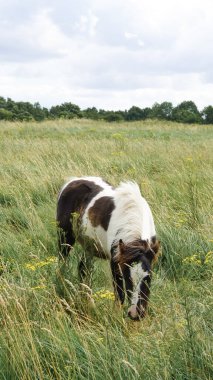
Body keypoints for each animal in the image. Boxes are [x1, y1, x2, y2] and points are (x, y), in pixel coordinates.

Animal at [56, 177, 160, 320]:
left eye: (148, 278)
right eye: (128, 278)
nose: (135, 314)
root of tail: (72, 181)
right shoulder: (115, 260)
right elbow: (120, 293)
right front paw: (117, 318)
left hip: (90, 247)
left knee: (83, 269)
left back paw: (88, 302)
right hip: (65, 238)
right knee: (62, 265)